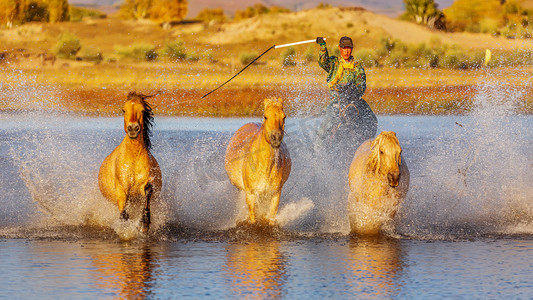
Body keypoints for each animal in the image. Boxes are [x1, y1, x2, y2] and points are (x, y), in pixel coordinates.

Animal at [97, 91, 160, 232]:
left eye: (142, 110)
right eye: (123, 110)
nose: (133, 129)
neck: (133, 158)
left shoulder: (144, 186)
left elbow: (148, 190)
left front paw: (144, 223)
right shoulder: (122, 189)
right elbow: (123, 213)